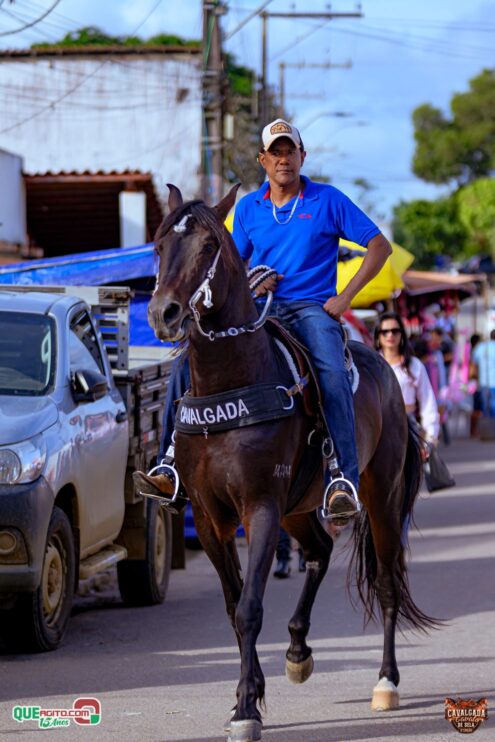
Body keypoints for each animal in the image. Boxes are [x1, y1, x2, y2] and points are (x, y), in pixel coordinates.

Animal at [147, 183, 436, 742]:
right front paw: (249, 695)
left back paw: (386, 683)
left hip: (379, 497)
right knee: (319, 550)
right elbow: (233, 604)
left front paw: (246, 708)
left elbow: (250, 608)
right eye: (157, 245)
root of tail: (387, 373)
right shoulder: (211, 518)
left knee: (387, 583)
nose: (163, 314)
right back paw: (299, 651)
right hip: (298, 507)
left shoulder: (260, 506)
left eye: (208, 247)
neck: (231, 381)